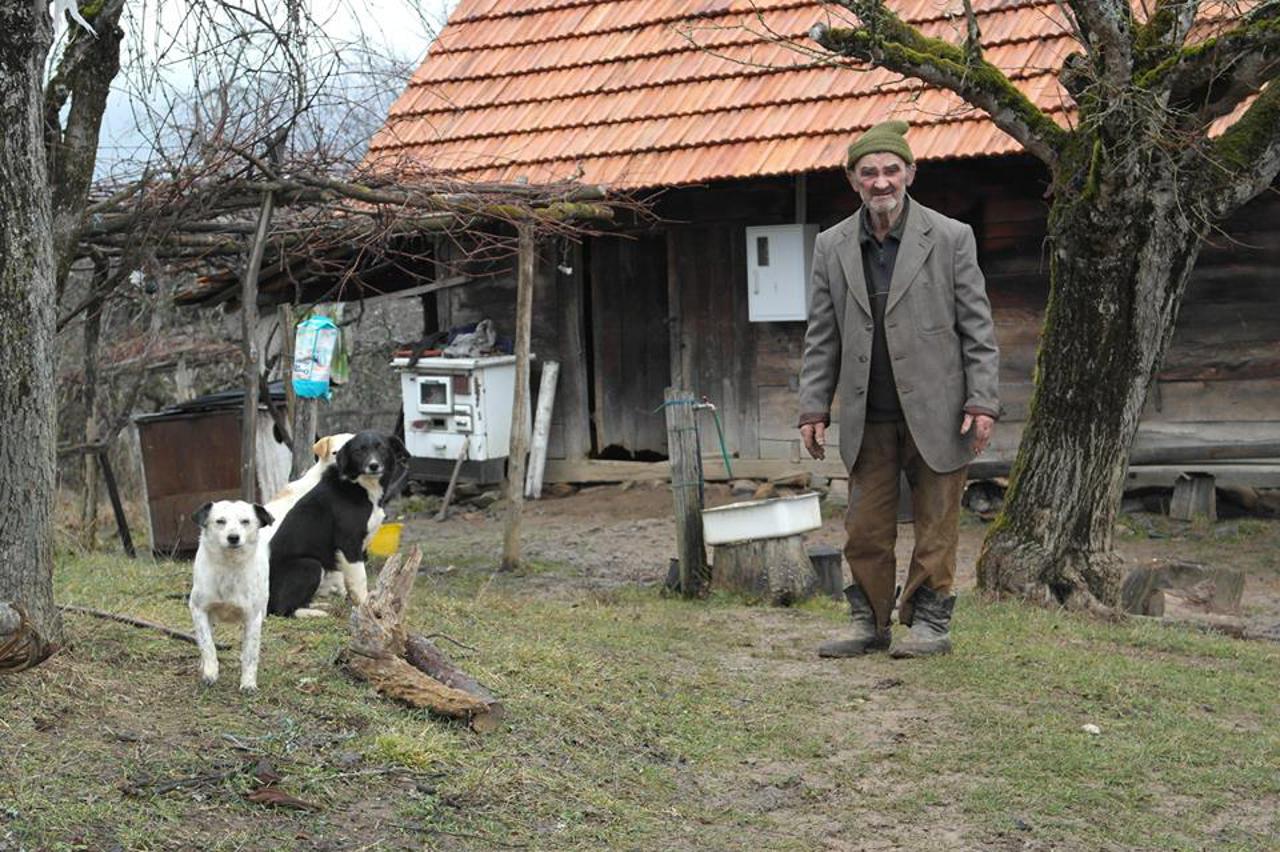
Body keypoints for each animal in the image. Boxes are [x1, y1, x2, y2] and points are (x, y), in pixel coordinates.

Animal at [189, 500, 275, 691]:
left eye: (245, 521)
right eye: (220, 521)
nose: (233, 537)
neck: (229, 566)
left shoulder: (253, 618)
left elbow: (250, 653)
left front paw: (248, 683)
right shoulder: (198, 609)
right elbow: (207, 645)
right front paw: (210, 672)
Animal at [267, 431, 409, 617]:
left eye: (382, 448)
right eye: (358, 451)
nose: (373, 465)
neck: (360, 486)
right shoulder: (349, 544)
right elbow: (359, 580)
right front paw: (366, 609)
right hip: (311, 565)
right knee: (281, 609)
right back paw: (313, 613)